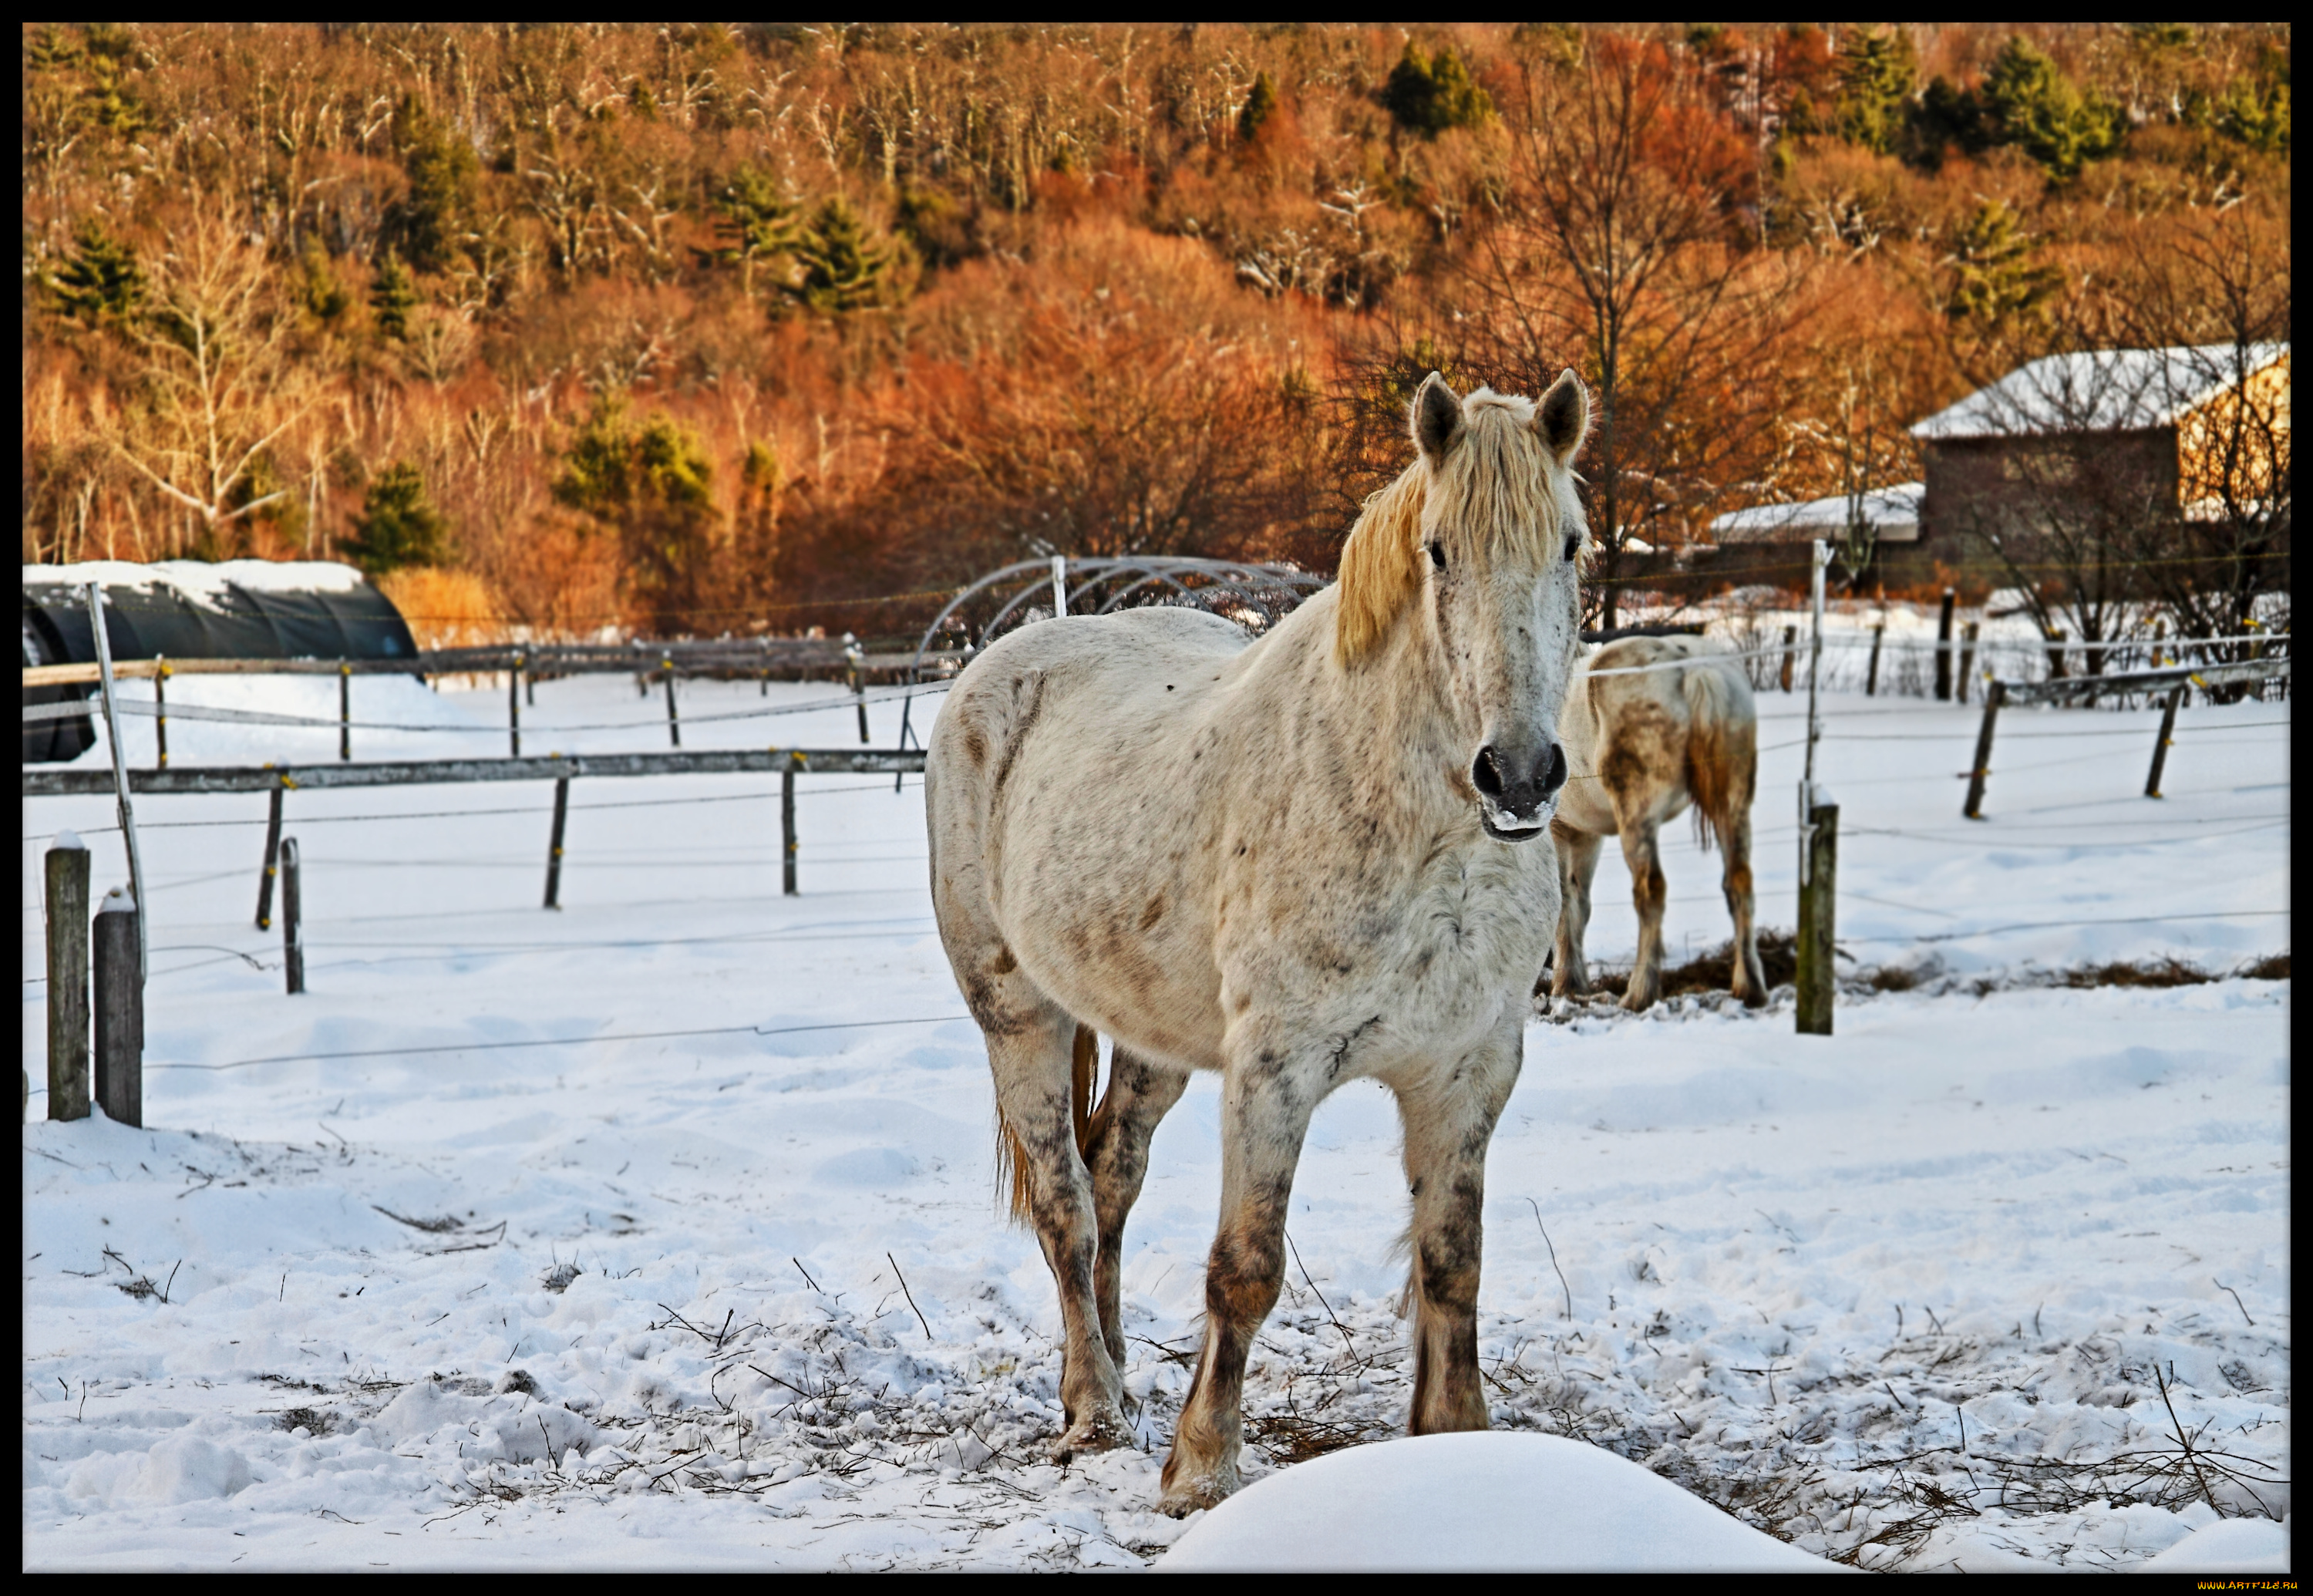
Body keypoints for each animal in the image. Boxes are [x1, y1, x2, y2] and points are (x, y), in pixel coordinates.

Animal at [921, 368, 1591, 1508]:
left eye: (1574, 547)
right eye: (1439, 549)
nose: (1519, 774)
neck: (1422, 837)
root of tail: (1002, 661)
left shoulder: (1469, 1068)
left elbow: (1451, 1260)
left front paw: (1458, 1440)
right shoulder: (1275, 1069)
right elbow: (1246, 1266)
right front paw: (1202, 1466)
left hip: (1148, 1036)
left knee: (1112, 1178)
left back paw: (1117, 1375)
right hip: (1018, 1016)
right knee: (1064, 1204)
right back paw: (1095, 1407)